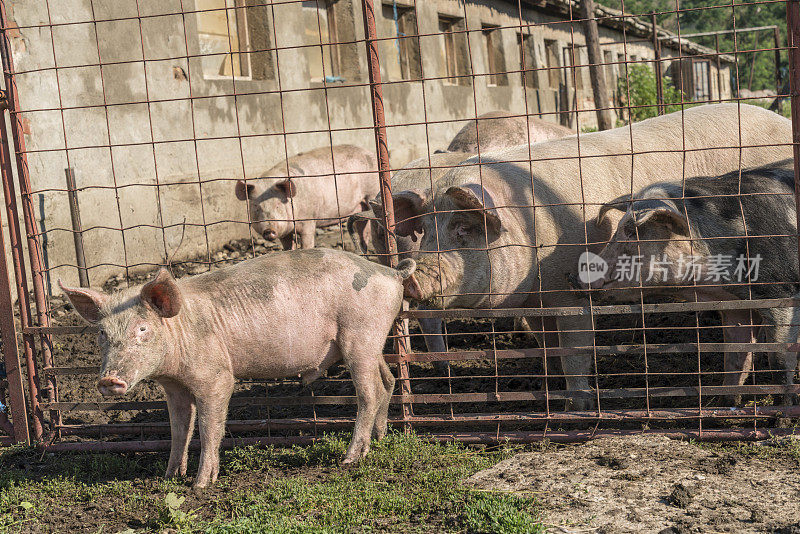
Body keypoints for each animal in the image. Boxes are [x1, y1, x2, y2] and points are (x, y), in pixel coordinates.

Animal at [59, 250, 416, 490]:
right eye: (102, 333)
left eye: (143, 329)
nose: (109, 379)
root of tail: (391, 272)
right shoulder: (174, 387)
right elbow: (179, 428)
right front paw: (169, 477)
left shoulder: (215, 377)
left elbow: (209, 427)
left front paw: (200, 485)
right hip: (371, 341)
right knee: (388, 380)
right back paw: (381, 438)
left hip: (360, 335)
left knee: (369, 393)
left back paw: (349, 459)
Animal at [233, 146, 380, 252]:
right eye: (257, 208)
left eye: (278, 205)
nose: (269, 230)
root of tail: (371, 153)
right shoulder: (284, 231)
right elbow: (288, 246)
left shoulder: (309, 218)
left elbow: (307, 241)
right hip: (360, 206)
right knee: (363, 230)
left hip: (372, 192)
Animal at [584, 159, 796, 406]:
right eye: (618, 229)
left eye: (631, 232)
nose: (573, 277)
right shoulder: (736, 305)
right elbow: (735, 358)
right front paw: (725, 406)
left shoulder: (782, 294)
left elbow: (779, 364)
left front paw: (782, 412)